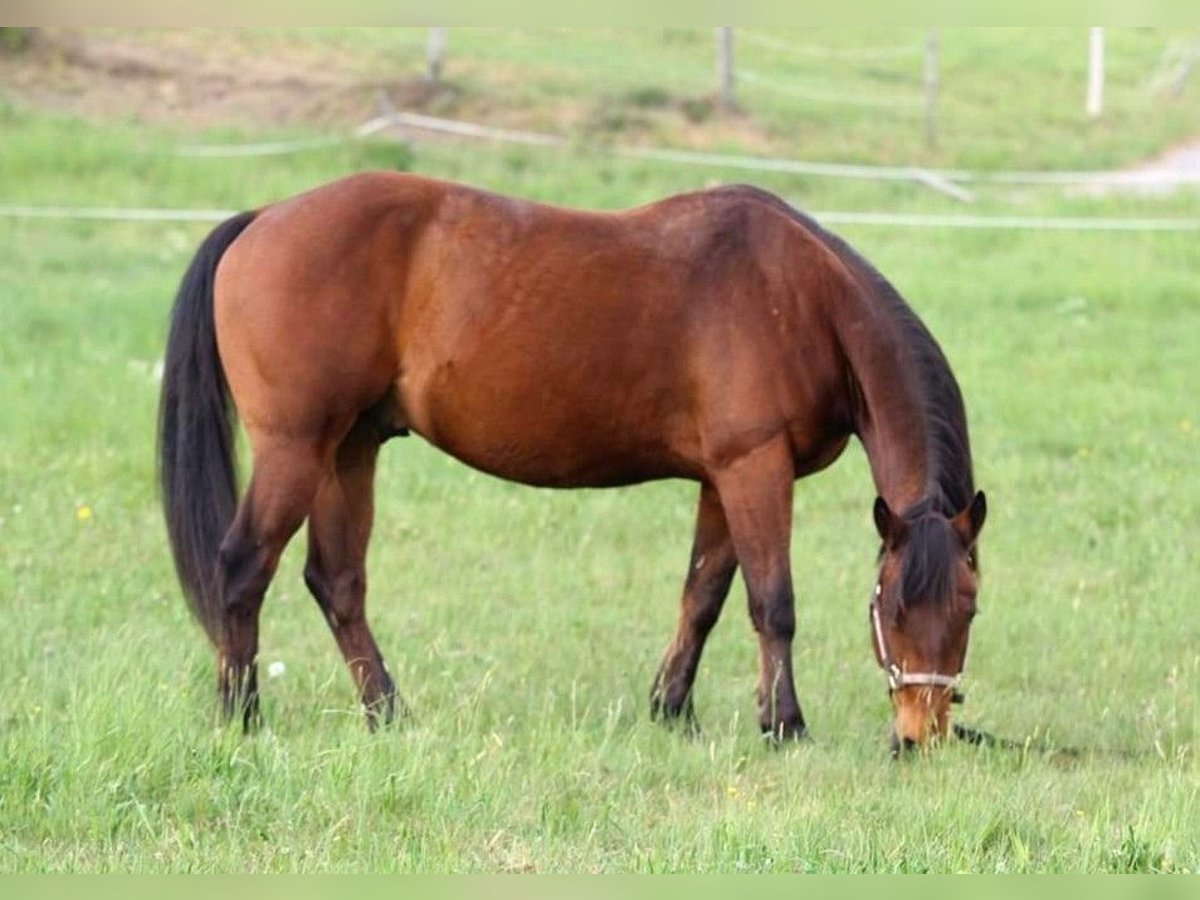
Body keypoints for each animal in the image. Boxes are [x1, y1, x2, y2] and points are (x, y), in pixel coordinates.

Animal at [157, 172, 984, 748]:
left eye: (969, 607)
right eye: (894, 607)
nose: (921, 735)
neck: (803, 299)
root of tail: (264, 218)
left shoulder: (721, 480)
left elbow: (703, 596)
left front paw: (671, 711)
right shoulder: (755, 469)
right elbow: (771, 603)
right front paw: (785, 725)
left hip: (347, 451)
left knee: (337, 583)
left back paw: (389, 714)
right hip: (296, 449)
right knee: (243, 567)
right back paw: (243, 717)